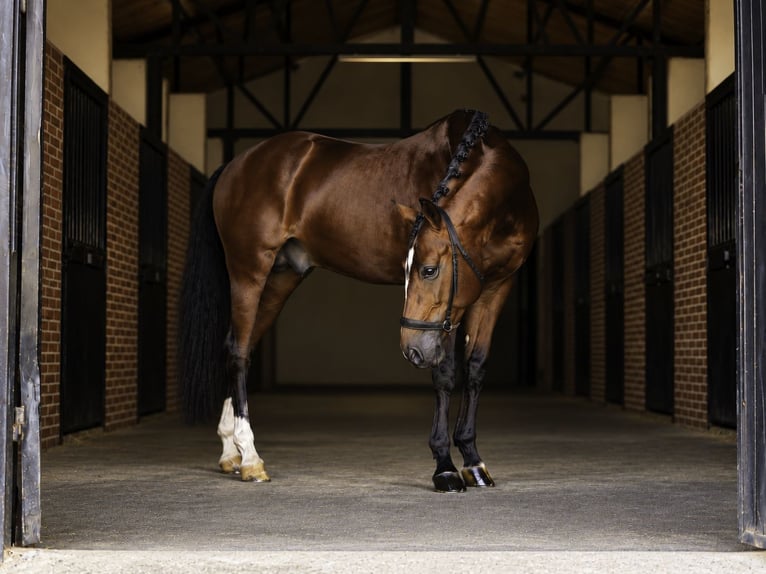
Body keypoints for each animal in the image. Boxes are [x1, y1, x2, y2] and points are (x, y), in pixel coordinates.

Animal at [179, 109, 538, 493]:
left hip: (281, 277)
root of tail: (236, 164)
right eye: (413, 269)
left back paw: (230, 452)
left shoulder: (496, 286)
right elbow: (444, 374)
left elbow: (475, 368)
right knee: (237, 352)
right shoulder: (448, 314)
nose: (411, 350)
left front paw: (473, 460)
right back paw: (250, 458)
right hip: (248, 270)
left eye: (428, 270)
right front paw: (445, 467)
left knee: (240, 347)